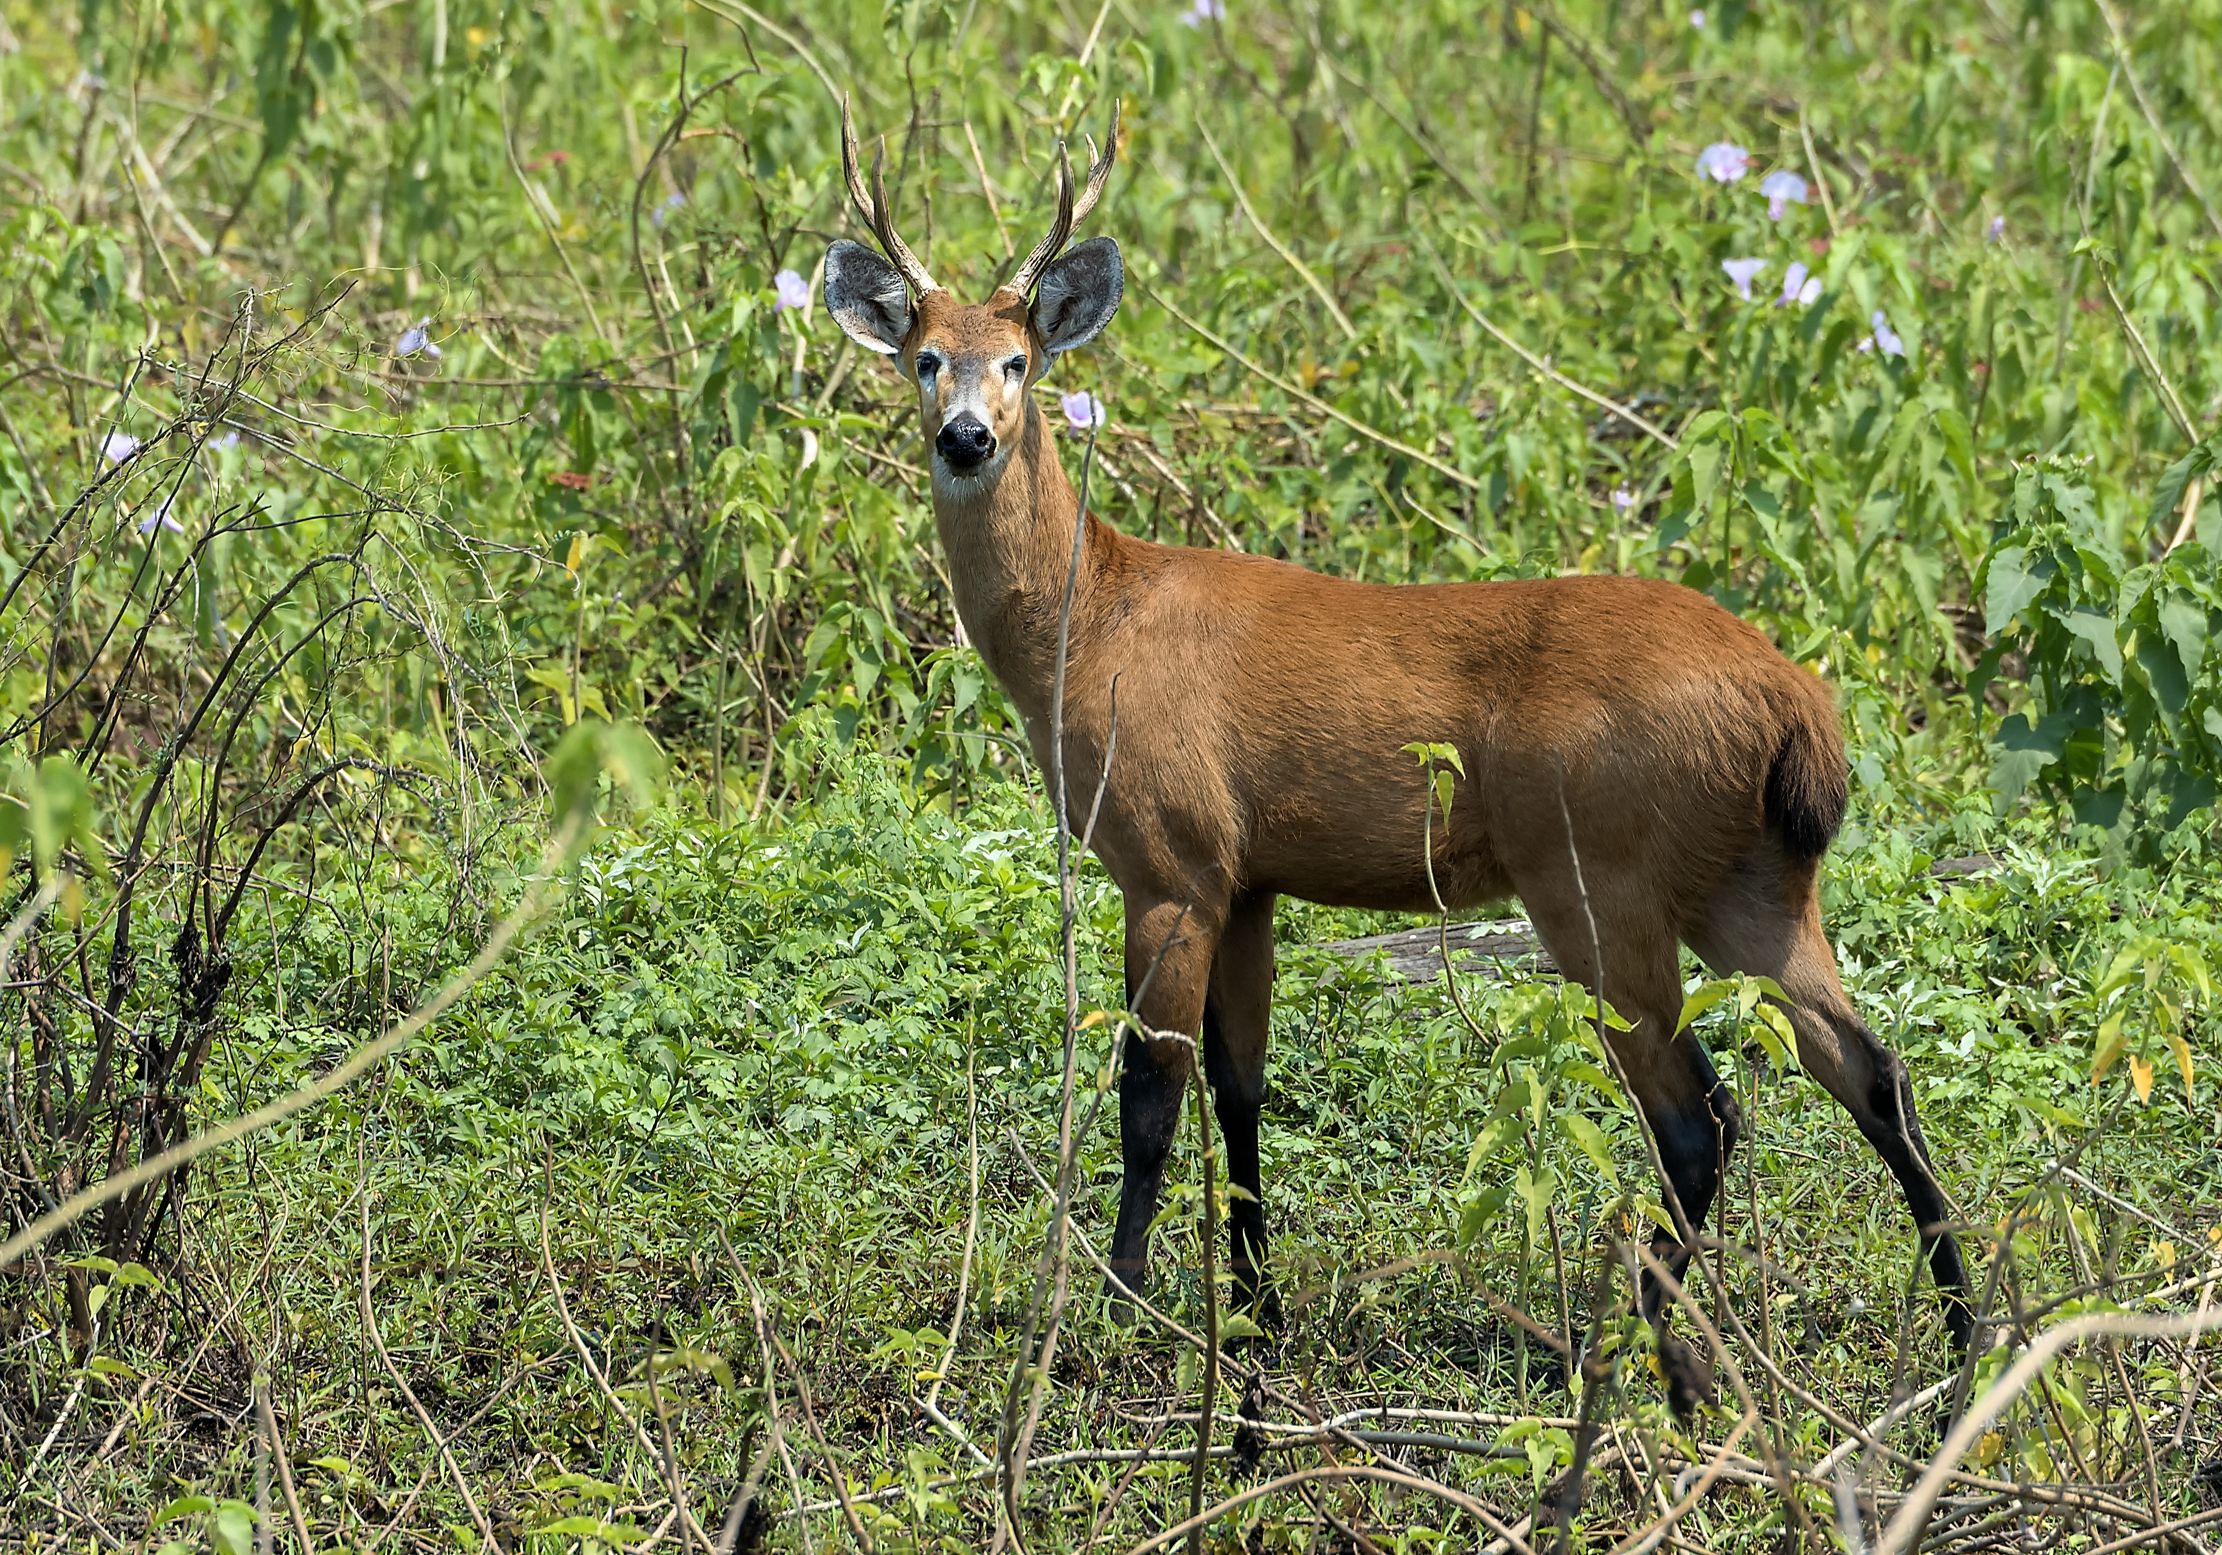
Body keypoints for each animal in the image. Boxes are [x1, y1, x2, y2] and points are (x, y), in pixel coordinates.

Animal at [820, 98, 1974, 1392]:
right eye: (925, 357)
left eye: (1019, 361)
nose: (966, 438)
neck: (1094, 623)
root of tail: (1796, 706)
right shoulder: (1248, 875)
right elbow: (1241, 1088)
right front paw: (1257, 1310)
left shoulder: (1167, 856)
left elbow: (1149, 1094)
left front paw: (1115, 1314)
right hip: (1754, 879)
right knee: (1871, 1068)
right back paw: (1961, 1336)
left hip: (1598, 872)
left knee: (1700, 1112)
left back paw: (1633, 1343)